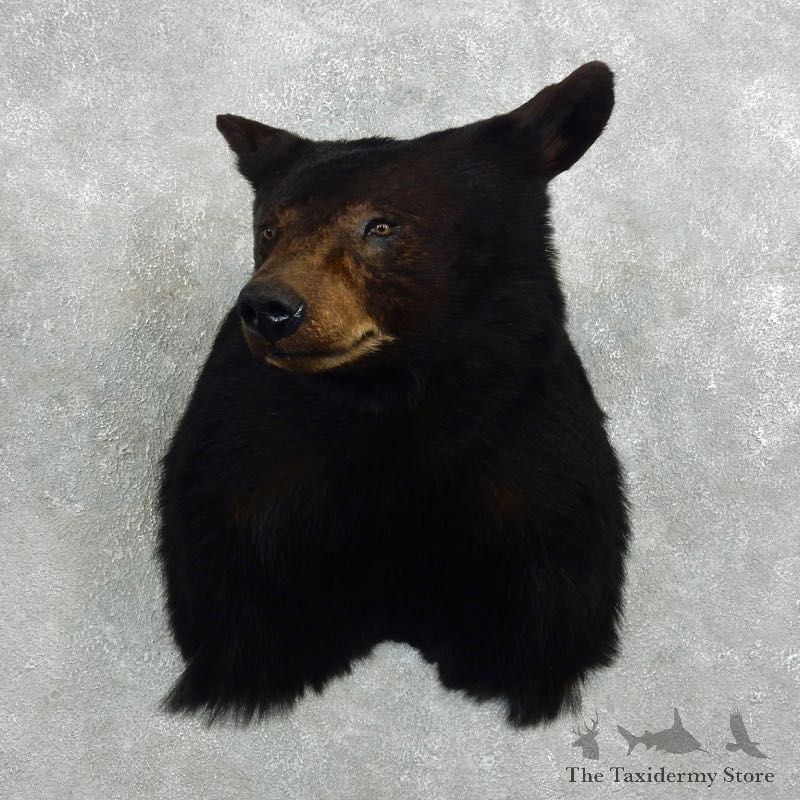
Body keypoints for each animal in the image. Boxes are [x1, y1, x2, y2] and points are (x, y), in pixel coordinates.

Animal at [157, 61, 630, 727]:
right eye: (268, 229)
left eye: (381, 224)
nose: (268, 308)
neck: (391, 406)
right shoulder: (239, 487)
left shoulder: (542, 499)